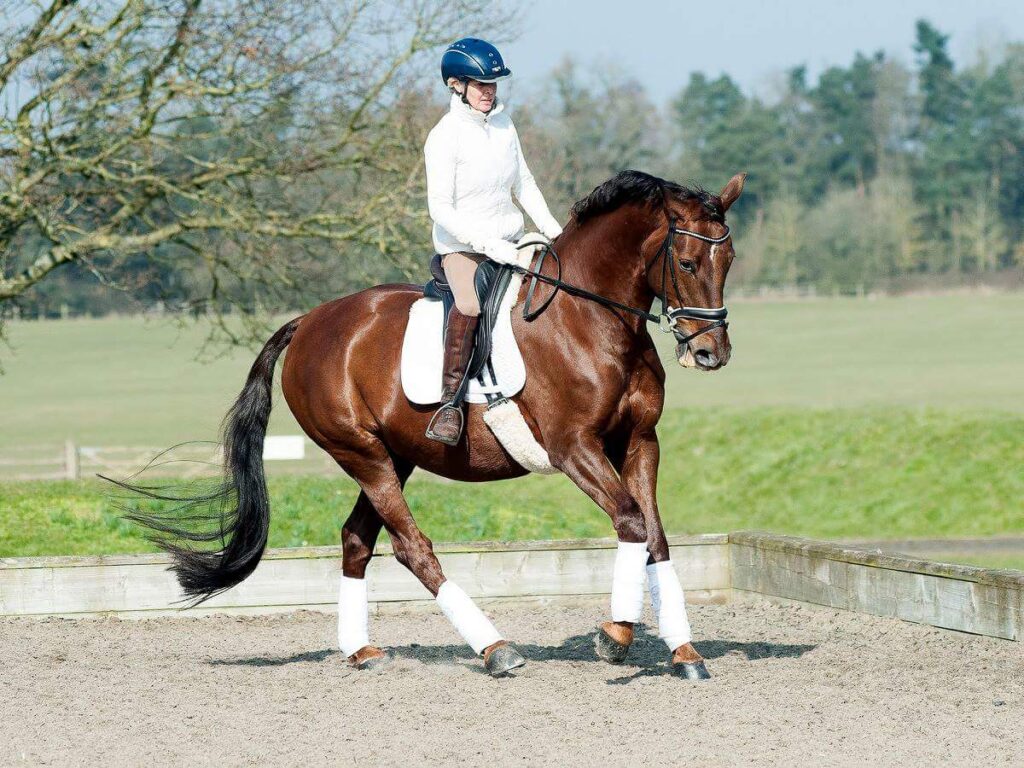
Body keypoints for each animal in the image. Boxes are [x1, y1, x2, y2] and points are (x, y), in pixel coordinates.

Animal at [121, 167, 745, 679]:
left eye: (729, 261)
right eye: (687, 263)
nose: (711, 353)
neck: (590, 317)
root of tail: (309, 322)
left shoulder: (638, 441)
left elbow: (655, 535)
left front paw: (684, 653)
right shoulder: (574, 448)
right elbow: (631, 522)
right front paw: (614, 637)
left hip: (394, 456)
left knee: (357, 540)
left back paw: (362, 651)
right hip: (363, 455)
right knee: (410, 547)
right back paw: (495, 649)